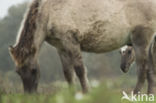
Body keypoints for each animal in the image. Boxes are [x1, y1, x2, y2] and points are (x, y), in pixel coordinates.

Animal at [8, 0, 156, 93]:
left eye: (34, 70)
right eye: (18, 72)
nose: (29, 96)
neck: (48, 12)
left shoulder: (71, 42)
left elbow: (80, 70)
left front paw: (86, 93)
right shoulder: (61, 48)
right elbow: (68, 74)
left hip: (140, 41)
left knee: (142, 71)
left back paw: (134, 95)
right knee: (150, 72)